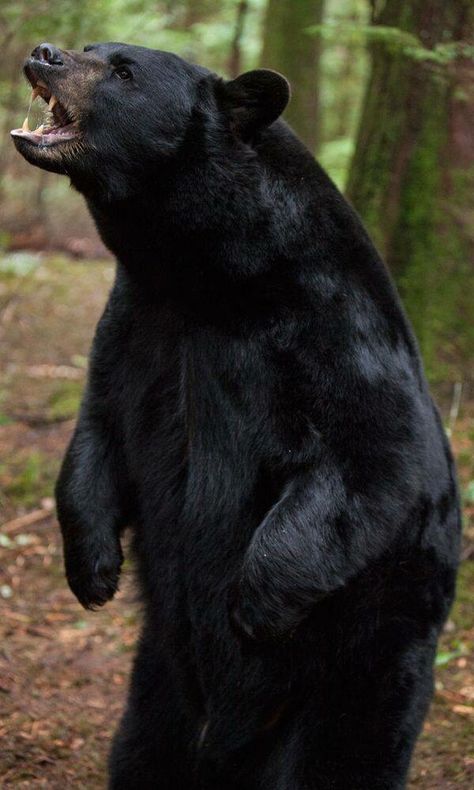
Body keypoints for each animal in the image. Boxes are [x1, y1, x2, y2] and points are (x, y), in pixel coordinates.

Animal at [12, 41, 462, 790]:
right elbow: (99, 431)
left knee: (346, 752)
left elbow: (374, 456)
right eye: (91, 49)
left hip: (368, 661)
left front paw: (254, 605)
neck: (211, 278)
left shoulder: (336, 327)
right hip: (159, 680)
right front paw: (93, 571)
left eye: (123, 70)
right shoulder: (139, 323)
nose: (44, 53)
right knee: (144, 750)